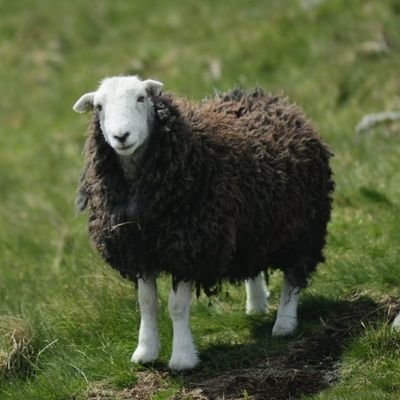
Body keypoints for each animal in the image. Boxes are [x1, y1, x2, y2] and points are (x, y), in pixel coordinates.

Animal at [72, 76, 334, 372]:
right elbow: (147, 303)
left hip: (303, 227)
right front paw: (145, 351)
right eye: (99, 107)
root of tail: (271, 99)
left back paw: (284, 324)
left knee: (293, 275)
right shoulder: (140, 252)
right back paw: (256, 304)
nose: (121, 136)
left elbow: (176, 307)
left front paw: (183, 358)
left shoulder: (190, 249)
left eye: (141, 98)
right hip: (252, 225)